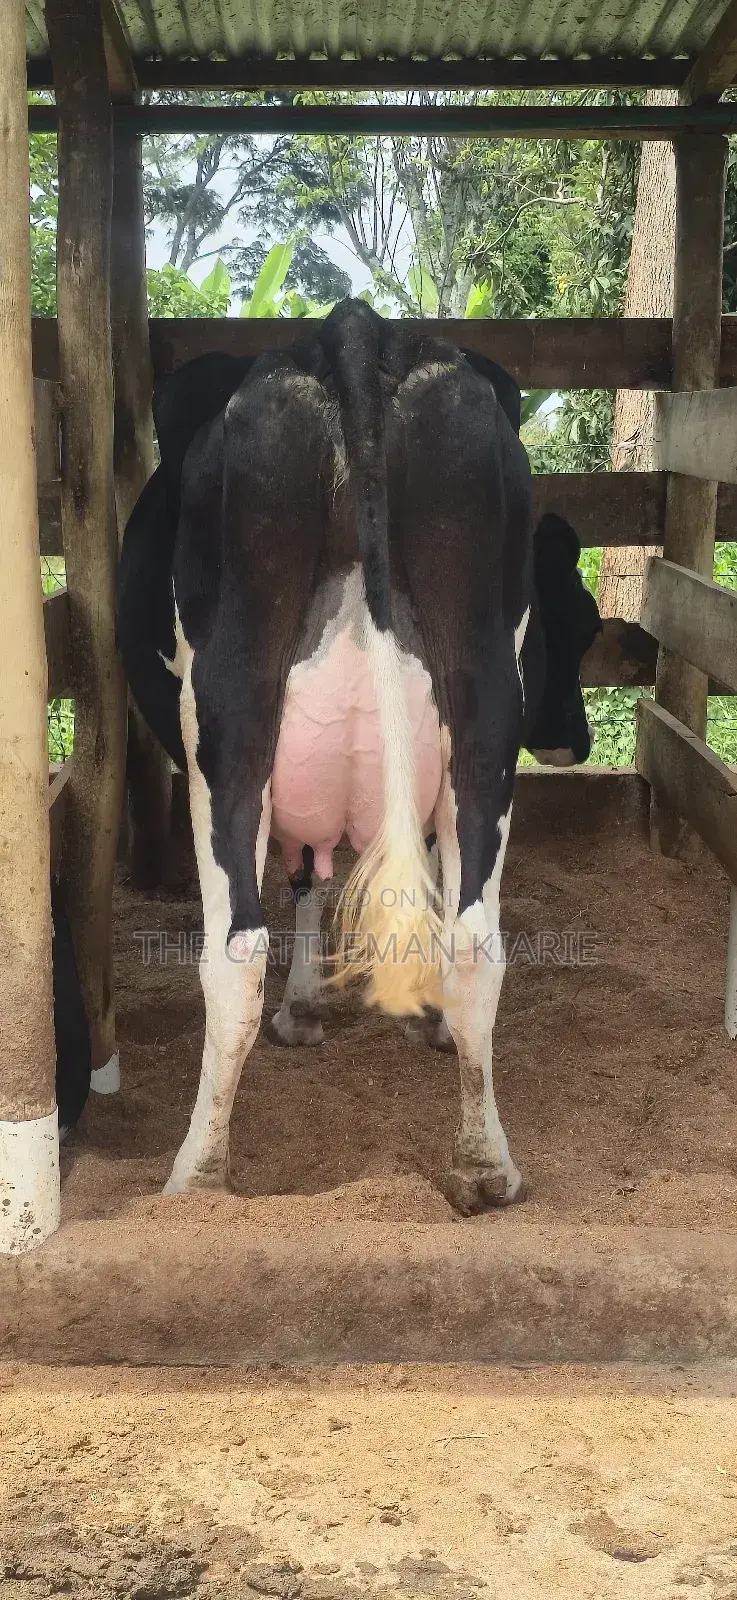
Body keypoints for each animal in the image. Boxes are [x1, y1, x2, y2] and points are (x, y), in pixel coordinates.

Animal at [118, 301, 601, 1211]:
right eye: (584, 627)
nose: (572, 739)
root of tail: (354, 327)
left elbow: (302, 877)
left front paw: (302, 1008)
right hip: (484, 706)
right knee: (475, 938)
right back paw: (484, 1166)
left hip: (225, 721)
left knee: (235, 949)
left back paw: (196, 1175)